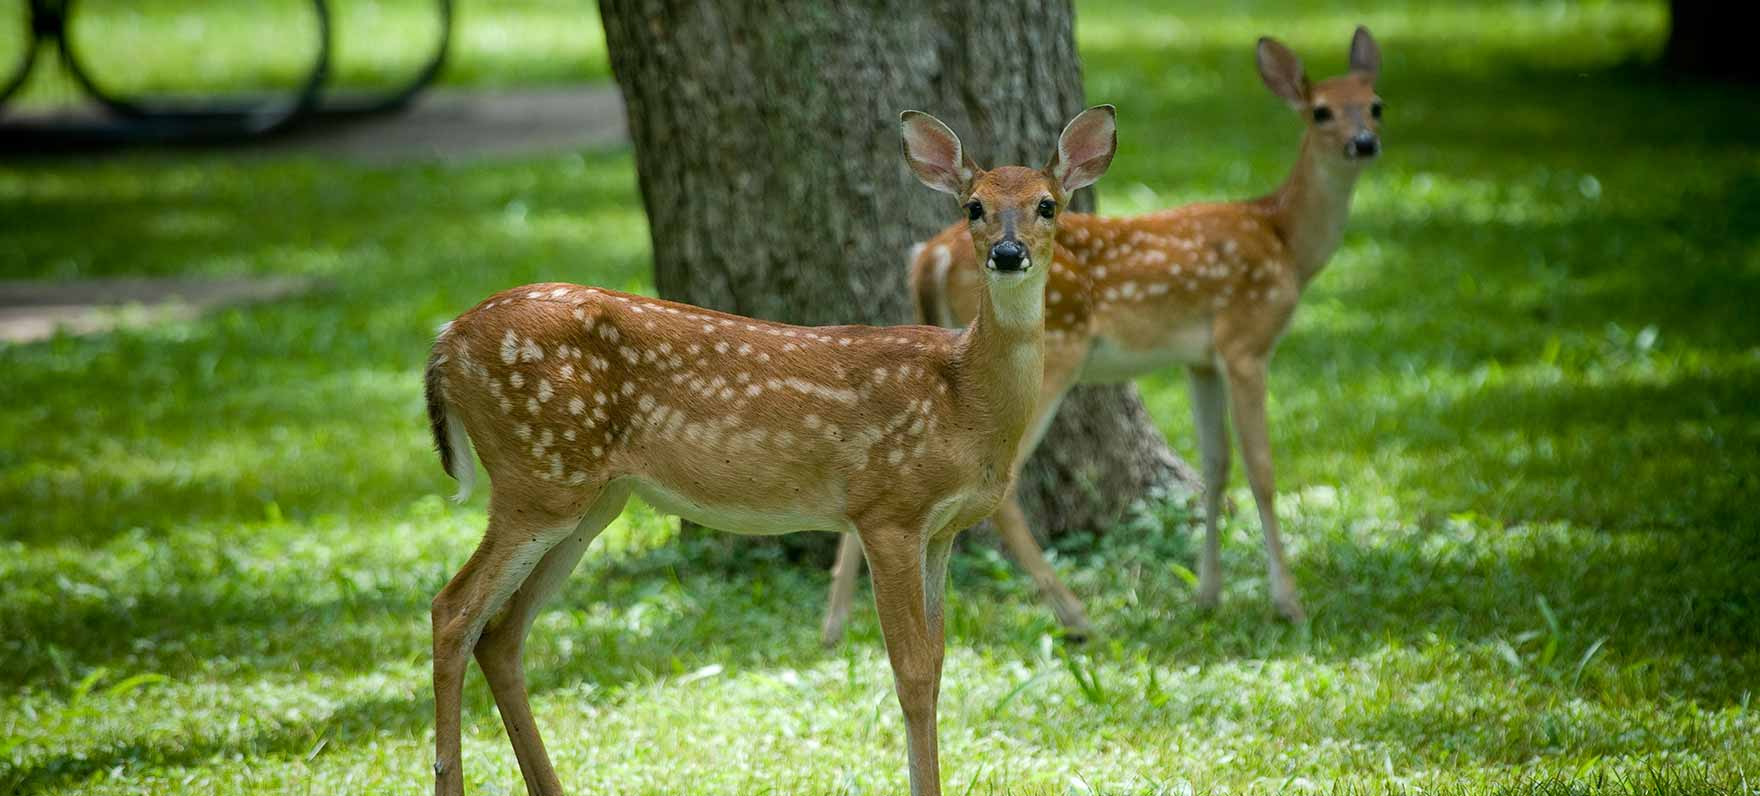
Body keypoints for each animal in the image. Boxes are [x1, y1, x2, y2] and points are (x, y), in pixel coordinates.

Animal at [418, 105, 1119, 796]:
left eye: (1047, 204)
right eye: (973, 206)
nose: (1008, 252)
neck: (962, 399)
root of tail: (446, 341)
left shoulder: (942, 529)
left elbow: (941, 662)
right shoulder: (887, 509)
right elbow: (913, 673)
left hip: (591, 497)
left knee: (501, 633)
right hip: (538, 472)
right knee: (453, 610)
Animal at [816, 27, 1379, 648]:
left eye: (1375, 104)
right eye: (1321, 111)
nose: (1365, 143)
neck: (1285, 240)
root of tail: (929, 256)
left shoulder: (1200, 360)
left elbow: (1215, 466)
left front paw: (1208, 595)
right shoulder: (1245, 341)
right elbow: (1263, 471)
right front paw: (1288, 604)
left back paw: (834, 624)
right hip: (1058, 357)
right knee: (1007, 494)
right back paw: (1077, 615)